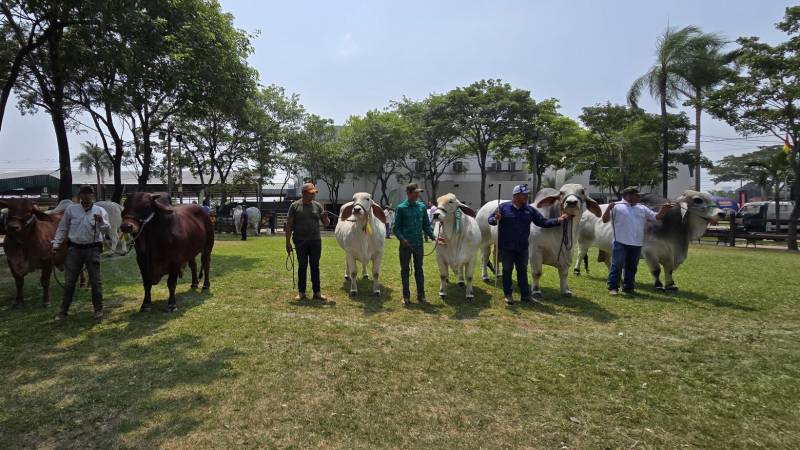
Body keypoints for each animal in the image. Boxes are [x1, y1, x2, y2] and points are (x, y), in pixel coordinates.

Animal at [572, 189, 728, 288]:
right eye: (698, 200)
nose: (722, 213)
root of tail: (586, 212)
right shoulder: (649, 252)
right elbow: (656, 270)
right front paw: (658, 285)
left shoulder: (668, 253)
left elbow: (668, 270)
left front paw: (671, 285)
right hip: (583, 242)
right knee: (580, 255)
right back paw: (577, 270)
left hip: (609, 247)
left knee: (608, 261)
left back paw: (619, 278)